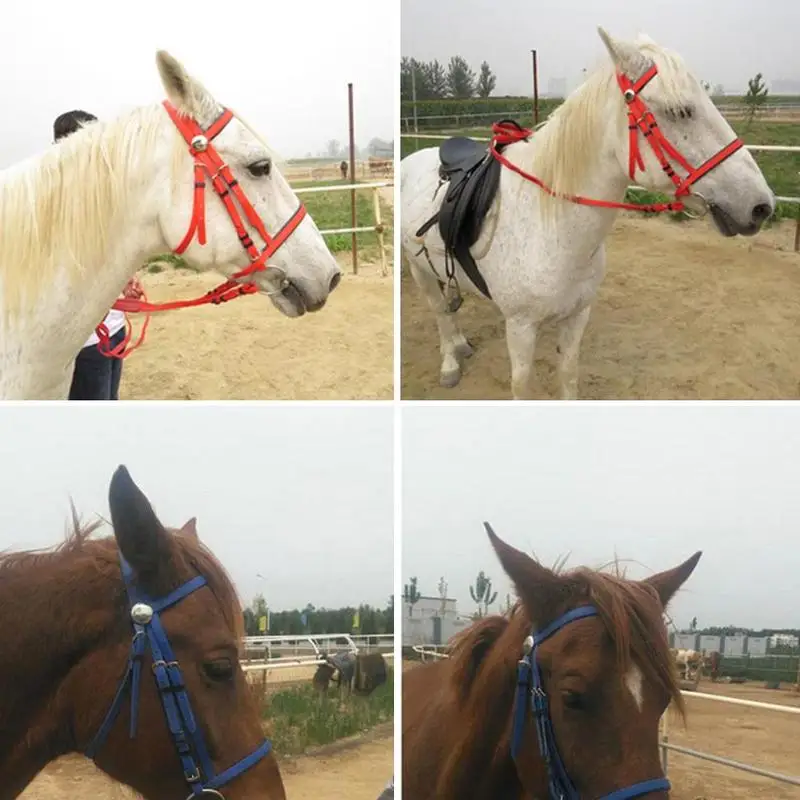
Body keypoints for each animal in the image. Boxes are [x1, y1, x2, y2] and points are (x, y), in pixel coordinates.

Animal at [400, 27, 775, 400]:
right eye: (681, 111)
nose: (761, 205)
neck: (553, 227)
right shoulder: (521, 327)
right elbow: (521, 385)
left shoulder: (577, 316)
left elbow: (568, 375)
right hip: (419, 270)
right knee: (439, 312)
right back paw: (450, 362)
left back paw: (461, 344)